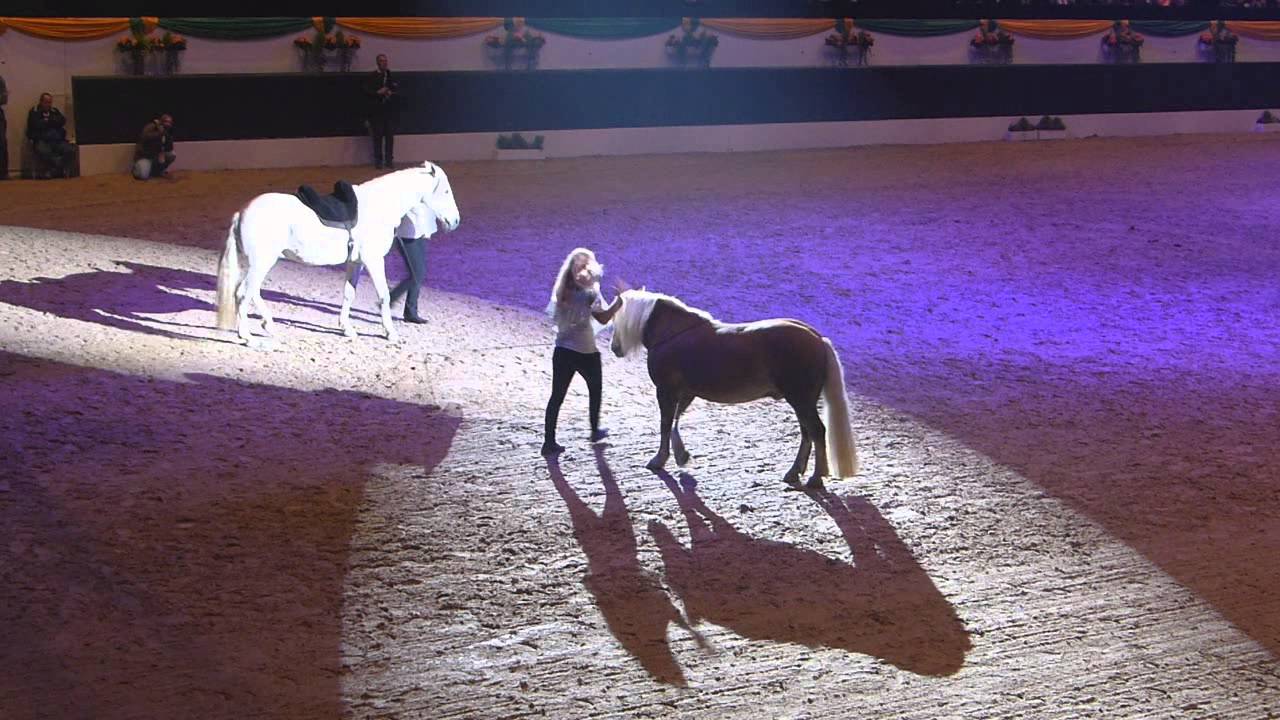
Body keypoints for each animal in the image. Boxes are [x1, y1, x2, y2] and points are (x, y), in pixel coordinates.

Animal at [215, 162, 460, 346]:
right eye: (446, 191)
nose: (456, 221)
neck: (379, 206)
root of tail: (241, 213)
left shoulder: (356, 262)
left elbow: (349, 294)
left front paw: (347, 329)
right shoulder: (373, 260)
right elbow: (384, 295)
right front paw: (391, 333)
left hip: (262, 263)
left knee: (252, 292)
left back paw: (268, 324)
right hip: (261, 263)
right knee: (243, 293)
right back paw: (247, 337)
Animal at [610, 289, 858, 489]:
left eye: (616, 321)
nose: (614, 348)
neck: (672, 333)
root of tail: (818, 339)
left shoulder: (665, 391)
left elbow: (664, 425)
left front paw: (659, 460)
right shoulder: (686, 393)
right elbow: (675, 422)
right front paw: (681, 455)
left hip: (801, 400)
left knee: (817, 431)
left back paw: (816, 478)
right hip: (801, 402)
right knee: (807, 433)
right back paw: (794, 473)